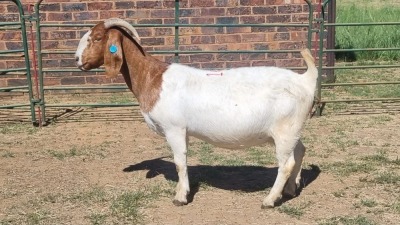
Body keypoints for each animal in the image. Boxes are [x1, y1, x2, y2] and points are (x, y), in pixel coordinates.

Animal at [75, 18, 318, 208]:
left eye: (97, 37)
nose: (77, 60)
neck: (154, 78)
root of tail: (305, 80)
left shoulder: (174, 128)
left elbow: (179, 162)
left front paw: (180, 197)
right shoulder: (182, 131)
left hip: (285, 129)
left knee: (286, 164)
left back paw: (269, 200)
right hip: (292, 130)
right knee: (300, 151)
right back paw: (290, 190)